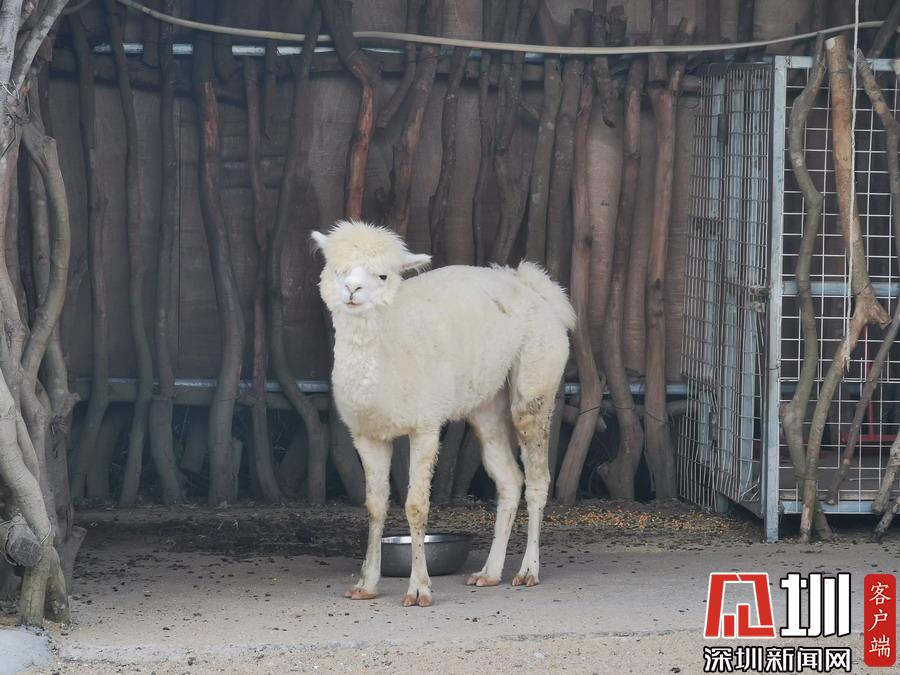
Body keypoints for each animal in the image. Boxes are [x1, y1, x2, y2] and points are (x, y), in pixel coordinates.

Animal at [312, 220, 575, 607]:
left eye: (382, 275)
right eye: (337, 269)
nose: (352, 289)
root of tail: (538, 292)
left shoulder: (425, 426)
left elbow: (416, 506)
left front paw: (419, 589)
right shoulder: (368, 434)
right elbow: (374, 506)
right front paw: (365, 584)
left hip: (536, 380)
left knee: (538, 480)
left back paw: (528, 572)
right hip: (486, 405)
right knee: (510, 480)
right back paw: (489, 573)